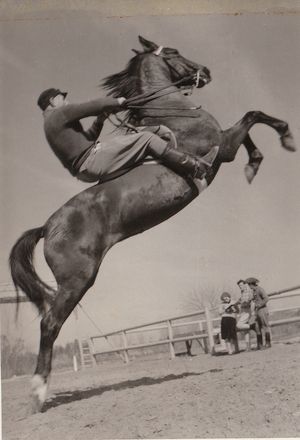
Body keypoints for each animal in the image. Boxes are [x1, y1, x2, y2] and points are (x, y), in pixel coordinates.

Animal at [9, 35, 296, 412]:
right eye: (174, 53)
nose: (205, 72)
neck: (173, 111)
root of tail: (47, 227)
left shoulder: (225, 143)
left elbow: (248, 125)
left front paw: (255, 164)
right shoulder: (223, 147)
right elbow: (253, 115)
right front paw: (284, 139)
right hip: (77, 281)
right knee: (49, 324)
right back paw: (39, 392)